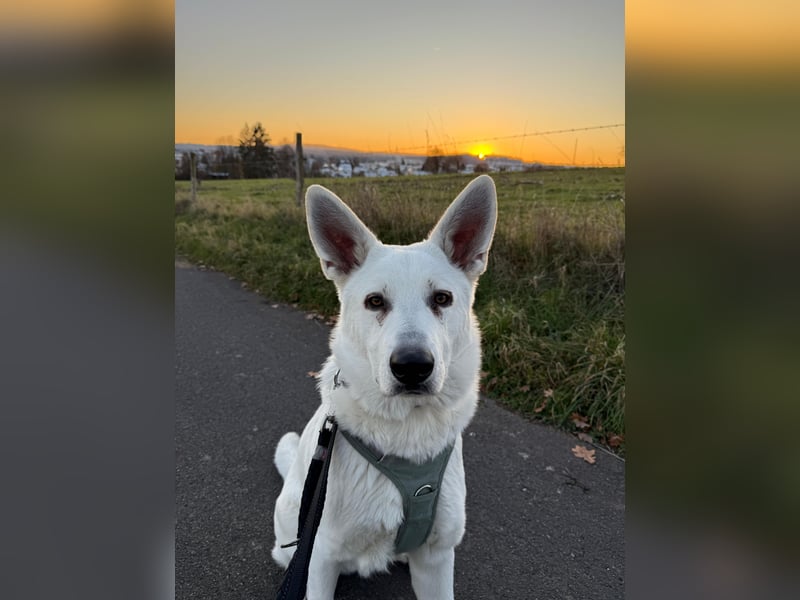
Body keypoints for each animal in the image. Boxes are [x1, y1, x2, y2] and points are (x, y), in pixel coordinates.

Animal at [272, 175, 497, 599]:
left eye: (442, 298)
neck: (407, 431)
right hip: (293, 537)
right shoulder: (321, 557)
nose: (412, 367)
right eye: (375, 302)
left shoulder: (438, 559)